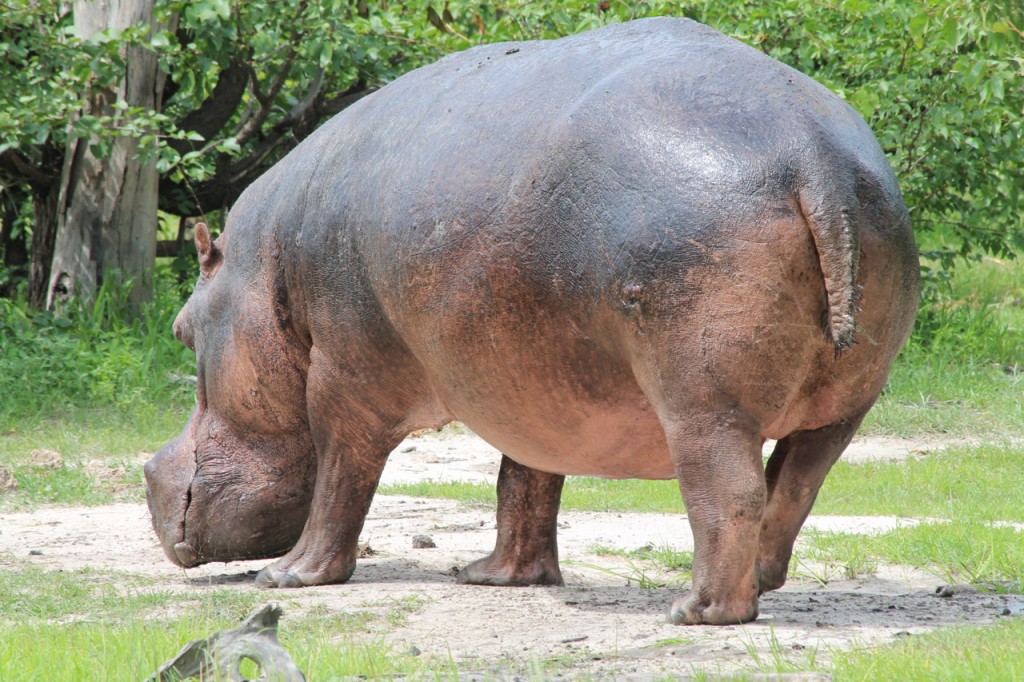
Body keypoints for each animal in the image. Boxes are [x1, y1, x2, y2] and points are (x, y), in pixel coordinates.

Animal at [146, 15, 921, 622]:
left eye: (181, 332)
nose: (150, 471)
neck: (265, 264)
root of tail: (813, 151)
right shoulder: (528, 378)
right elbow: (524, 480)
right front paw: (493, 577)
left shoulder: (343, 375)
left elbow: (342, 476)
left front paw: (288, 579)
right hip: (845, 402)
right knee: (793, 486)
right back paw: (754, 583)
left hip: (703, 403)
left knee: (728, 489)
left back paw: (694, 610)